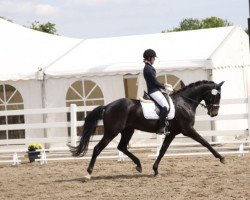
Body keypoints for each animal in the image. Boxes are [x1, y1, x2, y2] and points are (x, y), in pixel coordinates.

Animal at [69, 79, 226, 178]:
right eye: (216, 96)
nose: (214, 113)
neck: (185, 102)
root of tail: (108, 106)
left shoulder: (172, 133)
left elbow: (162, 151)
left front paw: (155, 170)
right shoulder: (187, 130)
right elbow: (205, 142)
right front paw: (221, 158)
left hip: (127, 130)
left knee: (122, 147)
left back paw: (139, 165)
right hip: (112, 131)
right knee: (98, 148)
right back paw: (88, 173)